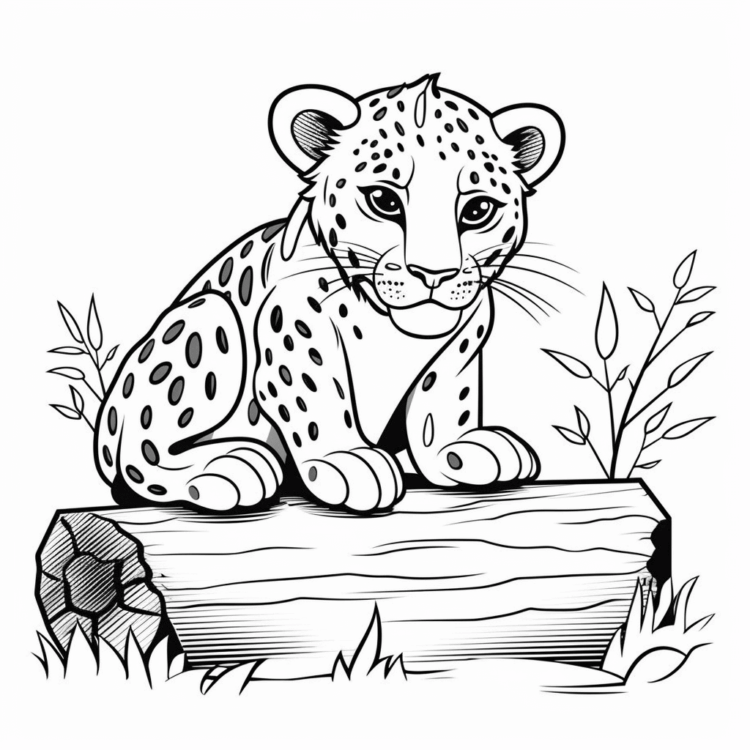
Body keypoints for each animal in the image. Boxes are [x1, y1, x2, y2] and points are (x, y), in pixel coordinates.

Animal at [94, 74, 565, 513]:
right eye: (383, 200)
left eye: (478, 209)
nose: (434, 273)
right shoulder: (294, 327)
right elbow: (315, 393)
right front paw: (346, 460)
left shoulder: (464, 338)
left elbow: (443, 400)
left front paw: (461, 448)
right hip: (207, 317)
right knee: (140, 455)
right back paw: (228, 466)